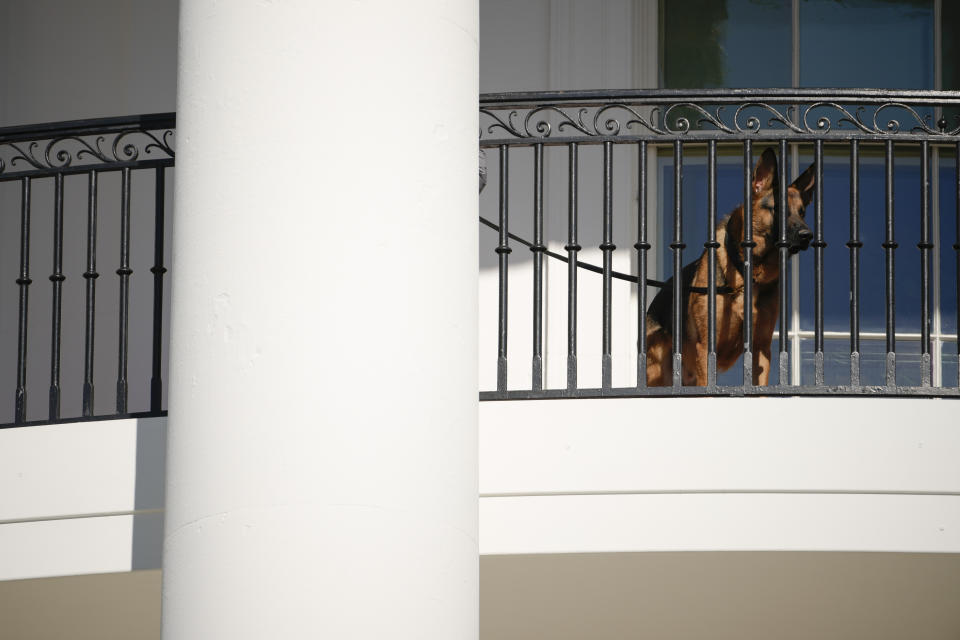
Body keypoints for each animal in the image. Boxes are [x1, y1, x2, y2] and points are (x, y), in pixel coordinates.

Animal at [644, 148, 816, 384]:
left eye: (802, 212)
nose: (808, 235)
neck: (748, 274)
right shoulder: (706, 349)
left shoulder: (761, 349)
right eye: (779, 209)